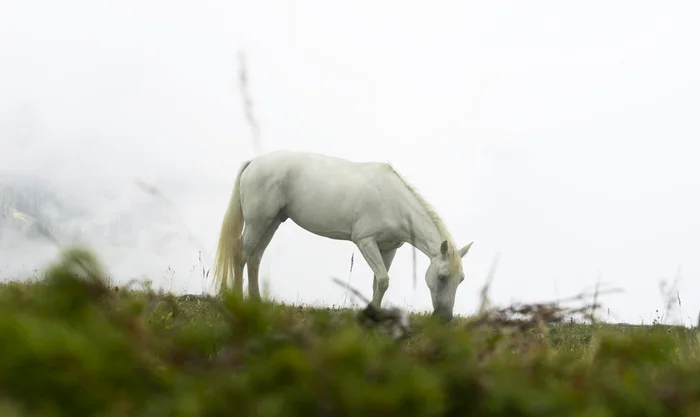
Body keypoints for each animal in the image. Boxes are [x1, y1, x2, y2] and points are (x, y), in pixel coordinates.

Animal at [213, 150, 474, 322]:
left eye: (461, 279)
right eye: (442, 277)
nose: (445, 318)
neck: (393, 201)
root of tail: (254, 162)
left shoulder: (388, 248)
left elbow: (378, 282)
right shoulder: (366, 241)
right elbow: (383, 280)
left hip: (272, 222)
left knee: (255, 258)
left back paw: (256, 302)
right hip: (258, 222)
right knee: (241, 255)